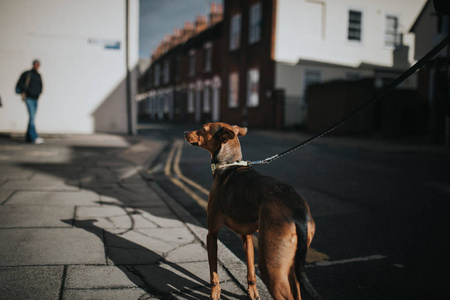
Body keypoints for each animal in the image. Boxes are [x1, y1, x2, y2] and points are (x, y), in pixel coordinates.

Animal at [185, 122, 322, 300]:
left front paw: (214, 294)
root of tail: (297, 212)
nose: (185, 132)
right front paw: (253, 293)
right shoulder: (247, 236)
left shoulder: (212, 233)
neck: (228, 165)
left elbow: (213, 272)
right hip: (291, 265)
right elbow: (250, 269)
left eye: (204, 128)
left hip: (271, 266)